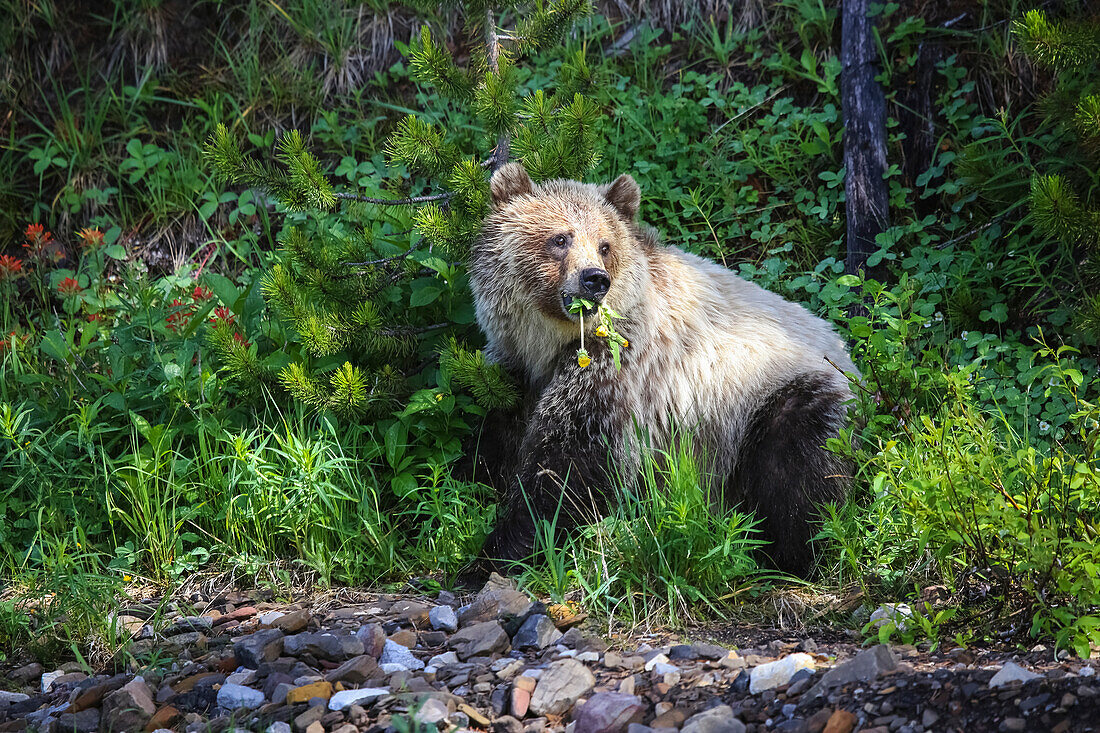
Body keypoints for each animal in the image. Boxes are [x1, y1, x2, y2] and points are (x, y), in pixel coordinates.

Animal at [468, 162, 853, 572]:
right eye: (560, 238)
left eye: (605, 245)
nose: (594, 279)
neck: (549, 343)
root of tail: (846, 352)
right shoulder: (514, 370)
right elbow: (495, 437)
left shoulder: (619, 377)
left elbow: (565, 474)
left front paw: (492, 556)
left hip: (772, 398)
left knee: (800, 467)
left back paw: (786, 554)